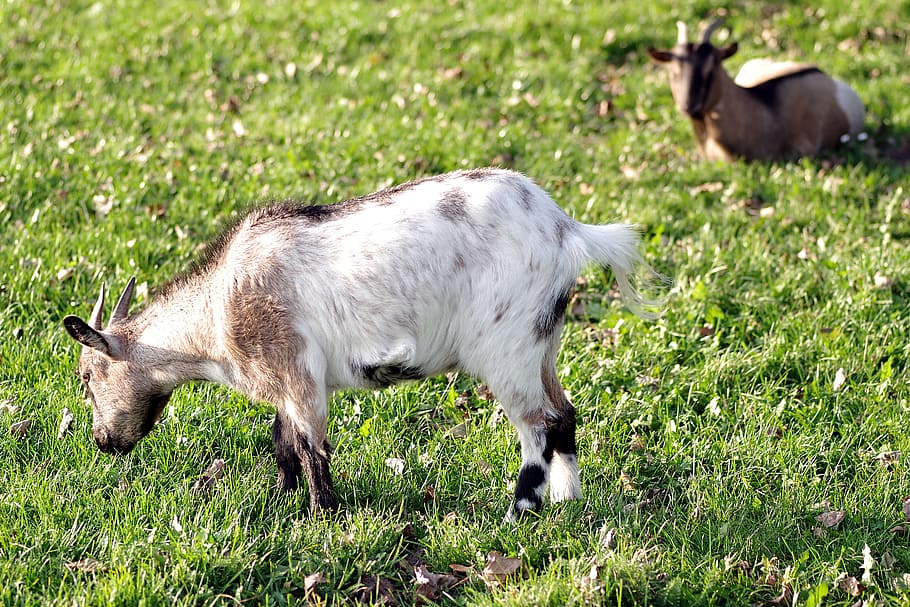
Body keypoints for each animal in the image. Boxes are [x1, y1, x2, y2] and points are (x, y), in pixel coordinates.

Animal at [64, 169, 664, 520]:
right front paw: (282, 500)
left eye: (86, 377)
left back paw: (520, 511)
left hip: (507, 347)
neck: (216, 312)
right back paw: (567, 499)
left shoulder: (297, 372)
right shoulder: (290, 381)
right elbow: (283, 442)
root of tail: (568, 230)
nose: (102, 441)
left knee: (536, 426)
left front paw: (324, 518)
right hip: (543, 343)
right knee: (565, 414)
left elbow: (311, 447)